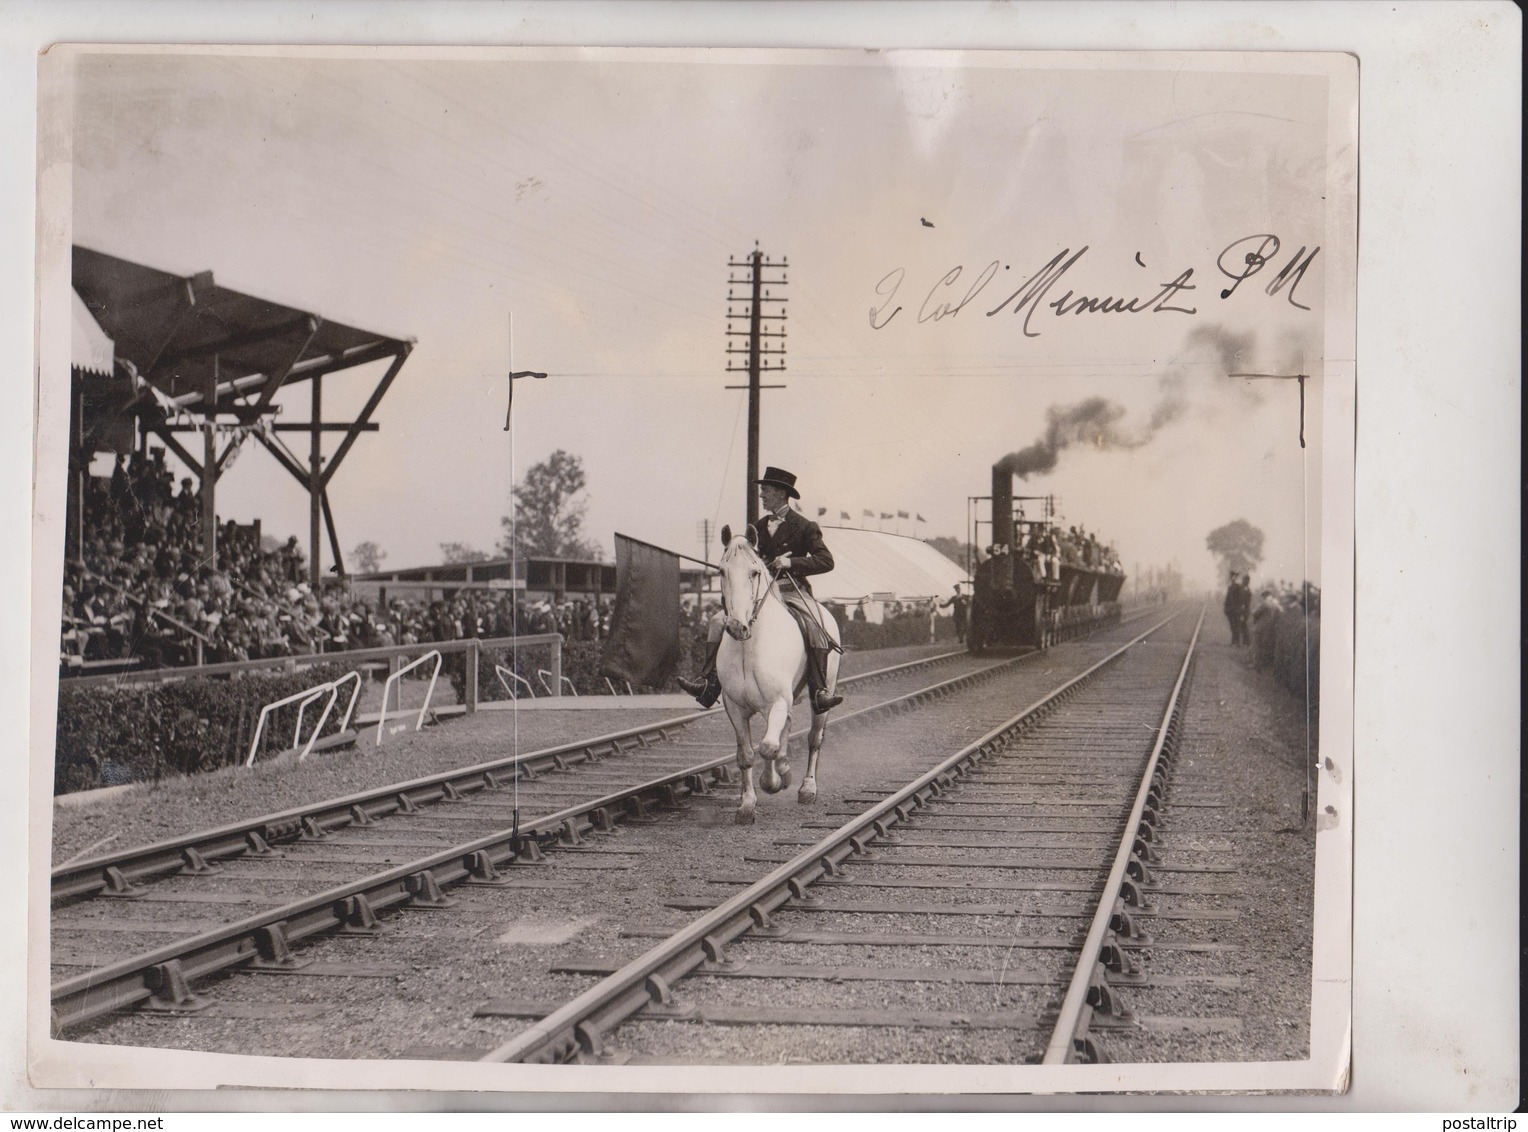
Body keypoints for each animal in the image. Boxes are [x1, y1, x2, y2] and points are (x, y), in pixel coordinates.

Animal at [718, 522, 843, 818]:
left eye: (754, 572)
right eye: (721, 571)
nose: (737, 627)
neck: (748, 648)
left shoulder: (776, 702)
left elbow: (768, 747)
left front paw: (772, 782)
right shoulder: (736, 708)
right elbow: (746, 754)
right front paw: (746, 804)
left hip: (822, 696)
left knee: (814, 737)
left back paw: (807, 788)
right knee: (787, 726)